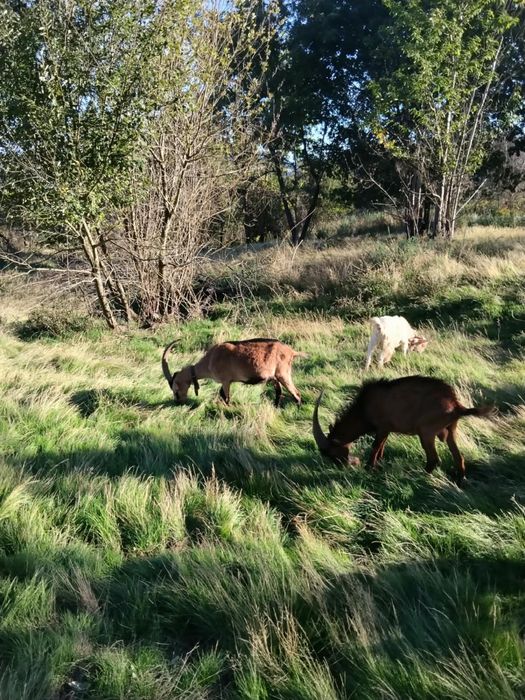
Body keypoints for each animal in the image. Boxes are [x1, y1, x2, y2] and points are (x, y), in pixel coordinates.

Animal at [162, 338, 306, 406]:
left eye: (175, 390)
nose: (178, 402)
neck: (210, 360)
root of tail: (291, 352)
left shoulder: (226, 380)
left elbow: (226, 397)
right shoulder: (226, 381)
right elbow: (221, 394)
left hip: (283, 374)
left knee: (296, 393)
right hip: (275, 377)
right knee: (279, 392)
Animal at [313, 375, 493, 485]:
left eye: (333, 454)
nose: (348, 465)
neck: (364, 408)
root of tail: (456, 405)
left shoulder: (382, 427)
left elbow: (375, 446)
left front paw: (369, 468)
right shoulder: (386, 430)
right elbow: (382, 446)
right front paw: (378, 464)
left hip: (426, 432)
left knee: (434, 459)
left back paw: (418, 476)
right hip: (451, 430)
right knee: (458, 456)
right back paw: (459, 479)